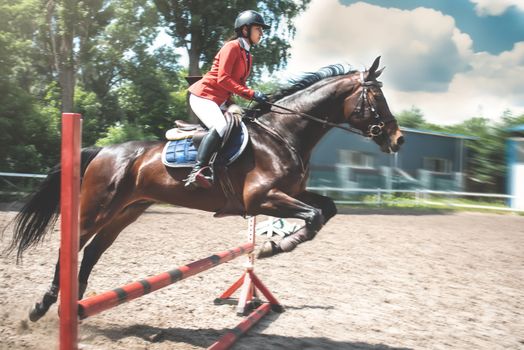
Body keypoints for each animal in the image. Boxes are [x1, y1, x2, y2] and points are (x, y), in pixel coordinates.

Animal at [5, 56, 406, 322]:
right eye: (377, 98)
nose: (398, 139)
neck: (283, 135)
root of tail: (103, 150)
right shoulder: (261, 198)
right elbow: (314, 215)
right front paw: (275, 246)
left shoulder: (292, 193)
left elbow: (326, 209)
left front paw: (276, 244)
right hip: (96, 208)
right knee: (70, 248)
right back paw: (43, 306)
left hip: (126, 212)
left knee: (90, 254)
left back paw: (75, 307)